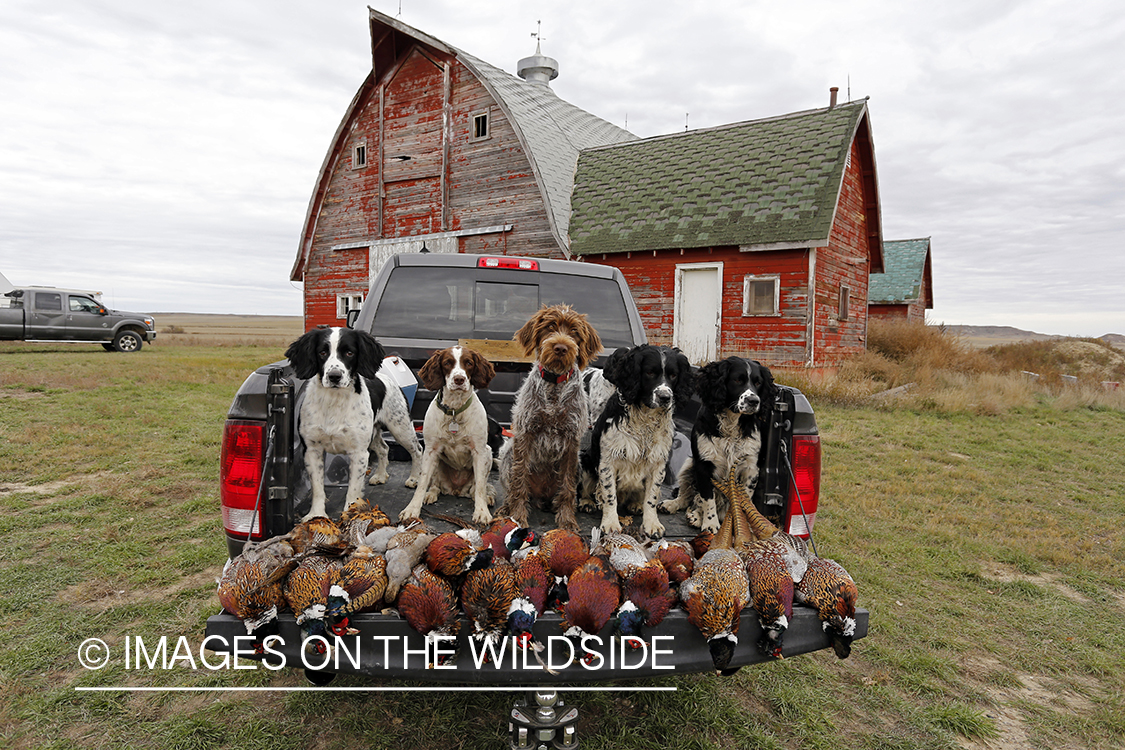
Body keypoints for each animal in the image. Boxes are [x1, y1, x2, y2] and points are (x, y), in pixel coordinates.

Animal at [501, 301, 603, 530]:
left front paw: (567, 520)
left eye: (574, 331)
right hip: (507, 452)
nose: (561, 348)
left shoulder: (571, 440)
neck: (554, 386)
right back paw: (505, 508)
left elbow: (567, 488)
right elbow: (519, 480)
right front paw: (518, 516)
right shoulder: (525, 432)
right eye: (550, 327)